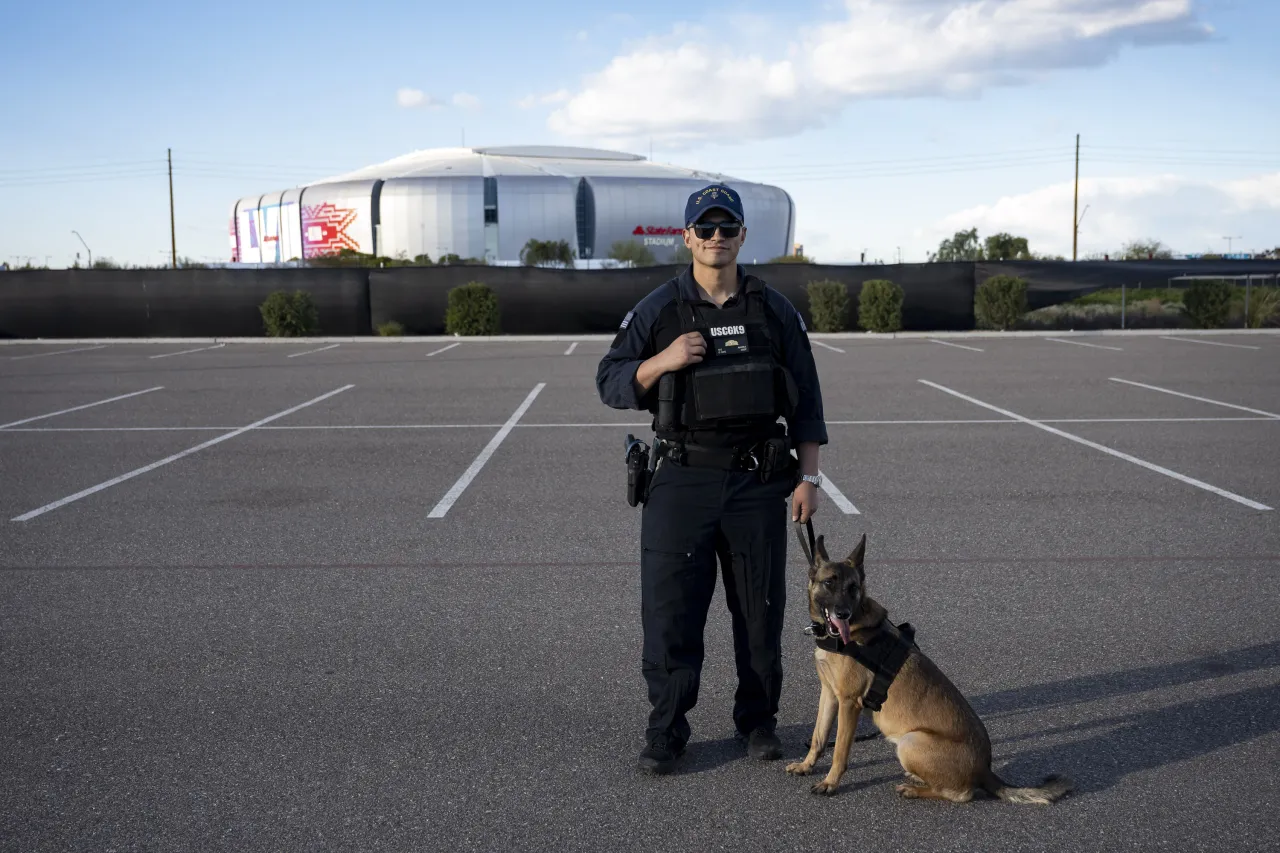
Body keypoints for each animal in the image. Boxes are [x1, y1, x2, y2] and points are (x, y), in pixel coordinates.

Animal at [788, 527, 1070, 799]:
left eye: (853, 587)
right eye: (828, 583)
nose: (843, 613)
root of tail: (985, 770)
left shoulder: (848, 703)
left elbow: (839, 750)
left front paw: (830, 783)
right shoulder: (829, 694)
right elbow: (818, 737)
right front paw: (806, 765)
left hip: (910, 741)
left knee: (961, 794)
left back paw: (914, 790)